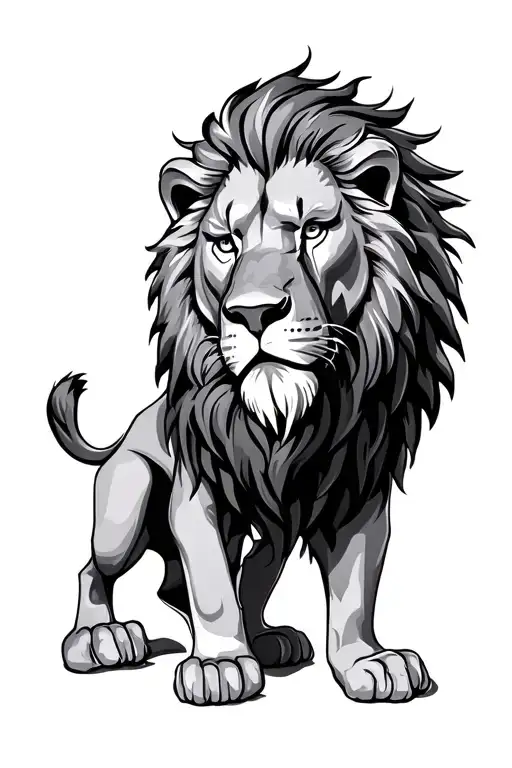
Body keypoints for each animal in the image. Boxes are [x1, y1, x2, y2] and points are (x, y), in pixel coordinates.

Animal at [48, 54, 471, 705]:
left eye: (312, 231)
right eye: (226, 243)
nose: (252, 313)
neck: (289, 418)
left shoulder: (356, 487)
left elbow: (354, 589)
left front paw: (368, 662)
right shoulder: (195, 489)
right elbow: (211, 585)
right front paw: (220, 665)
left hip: (271, 529)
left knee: (219, 577)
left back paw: (269, 640)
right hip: (129, 497)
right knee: (98, 568)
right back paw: (99, 638)